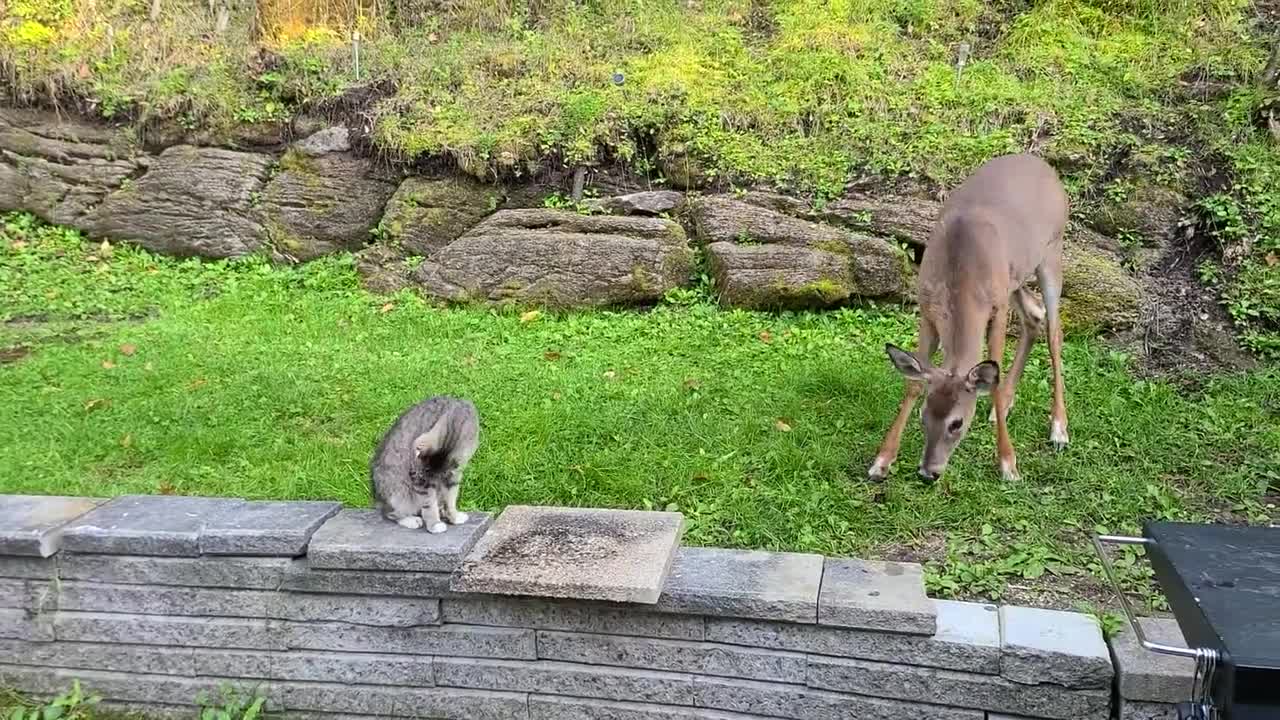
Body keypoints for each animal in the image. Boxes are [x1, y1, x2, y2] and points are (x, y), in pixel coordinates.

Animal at [867, 153, 1070, 485]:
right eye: (923, 417)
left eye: (957, 423)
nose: (928, 472)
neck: (961, 275)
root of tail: (1043, 164)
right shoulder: (927, 310)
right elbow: (912, 383)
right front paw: (881, 462)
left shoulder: (997, 308)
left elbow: (994, 377)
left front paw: (1008, 464)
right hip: (1016, 276)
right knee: (1034, 315)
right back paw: (1003, 409)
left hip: (1052, 252)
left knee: (1054, 332)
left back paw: (1059, 429)